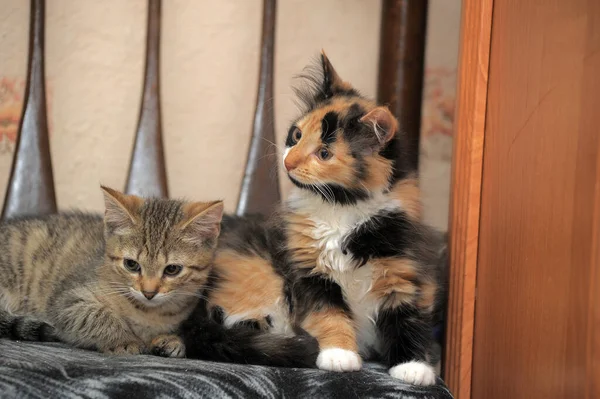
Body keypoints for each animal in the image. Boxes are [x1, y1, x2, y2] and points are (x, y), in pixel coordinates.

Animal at [0, 186, 223, 358]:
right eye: (131, 264)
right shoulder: (68, 300)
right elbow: (97, 316)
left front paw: (173, 341)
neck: (148, 314)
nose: (148, 292)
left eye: (172, 269)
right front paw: (123, 339)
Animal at [184, 54, 446, 386]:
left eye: (324, 153)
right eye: (296, 135)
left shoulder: (404, 269)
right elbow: (329, 314)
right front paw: (339, 354)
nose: (288, 161)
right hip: (258, 274)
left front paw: (413, 366)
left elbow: (408, 320)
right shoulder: (310, 272)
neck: (340, 207)